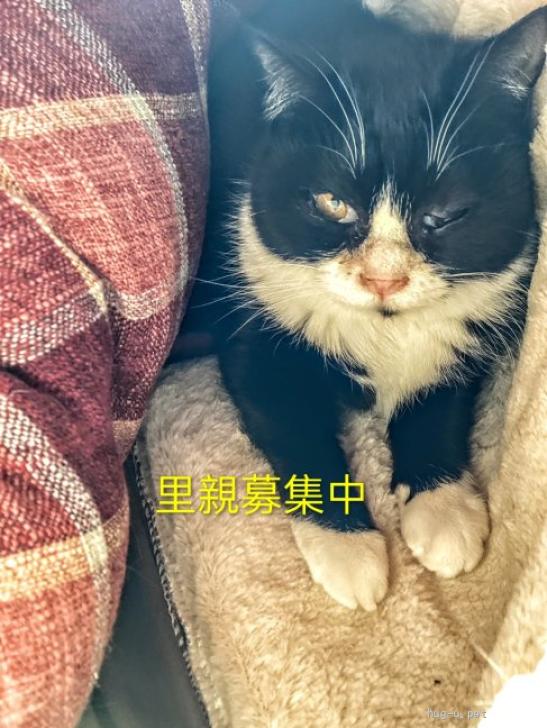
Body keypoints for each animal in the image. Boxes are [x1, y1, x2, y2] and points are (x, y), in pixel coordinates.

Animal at [198, 0, 547, 610]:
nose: (384, 279)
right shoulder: (253, 317)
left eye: (445, 213)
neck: (385, 328)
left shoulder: (474, 322)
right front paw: (350, 551)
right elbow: (290, 422)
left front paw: (443, 510)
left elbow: (441, 398)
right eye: (332, 202)